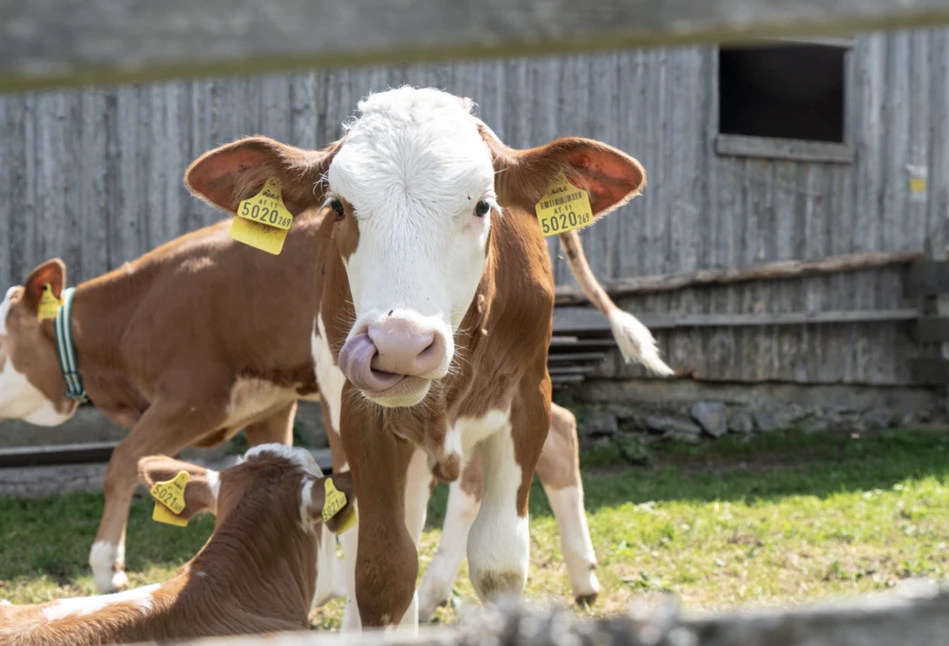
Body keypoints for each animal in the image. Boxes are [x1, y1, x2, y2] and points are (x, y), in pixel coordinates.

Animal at [181, 83, 664, 632]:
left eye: (483, 205)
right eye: (338, 206)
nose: (399, 343)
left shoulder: (527, 400)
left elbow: (499, 560)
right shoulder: (360, 414)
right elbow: (384, 569)